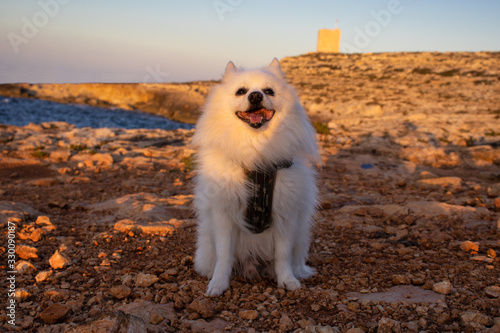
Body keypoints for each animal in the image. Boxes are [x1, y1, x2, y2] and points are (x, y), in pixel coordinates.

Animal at [193, 57, 318, 296]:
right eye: (241, 91)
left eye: (269, 91)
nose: (256, 96)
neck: (256, 147)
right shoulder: (224, 214)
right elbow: (224, 255)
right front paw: (218, 284)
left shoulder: (285, 214)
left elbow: (282, 255)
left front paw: (287, 280)